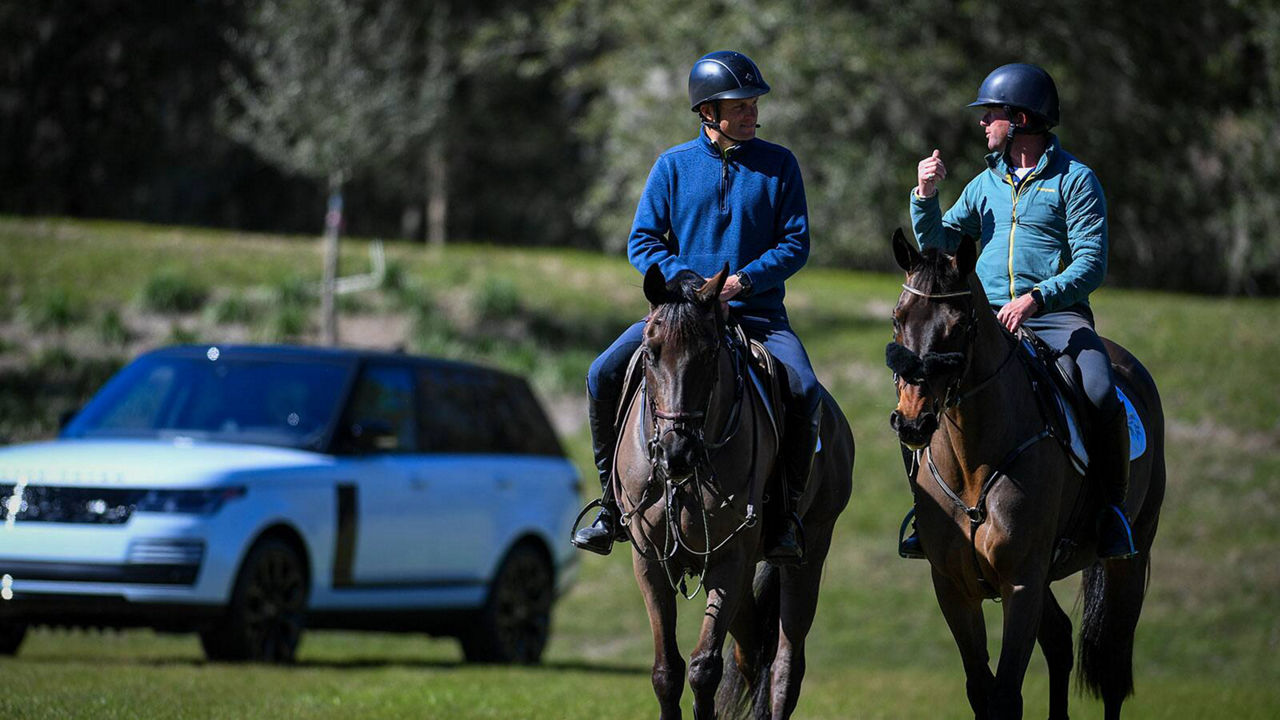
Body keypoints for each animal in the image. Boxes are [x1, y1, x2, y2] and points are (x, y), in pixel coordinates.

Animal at [614, 265, 855, 717]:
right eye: (651, 353)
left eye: (710, 354)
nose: (675, 452)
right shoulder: (651, 560)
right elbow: (666, 671)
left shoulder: (730, 560)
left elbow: (704, 668)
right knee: (752, 654)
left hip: (808, 556)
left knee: (785, 666)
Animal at [885, 230, 1167, 717]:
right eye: (899, 318)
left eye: (957, 325)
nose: (912, 422)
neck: (973, 466)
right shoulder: (954, 587)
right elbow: (982, 690)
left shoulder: (1020, 583)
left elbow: (1005, 694)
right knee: (1059, 640)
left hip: (1127, 563)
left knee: (1112, 665)